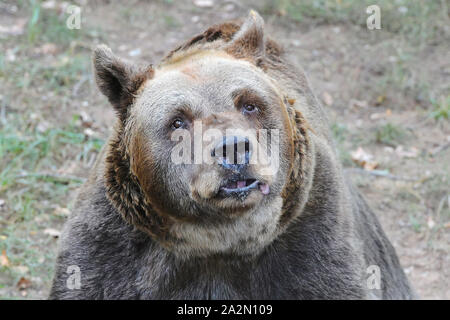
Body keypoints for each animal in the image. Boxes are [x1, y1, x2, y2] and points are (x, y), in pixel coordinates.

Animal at [50, 10, 414, 300]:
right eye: (177, 120)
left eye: (249, 104)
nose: (233, 148)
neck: (219, 242)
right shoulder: (113, 246)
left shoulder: (314, 239)